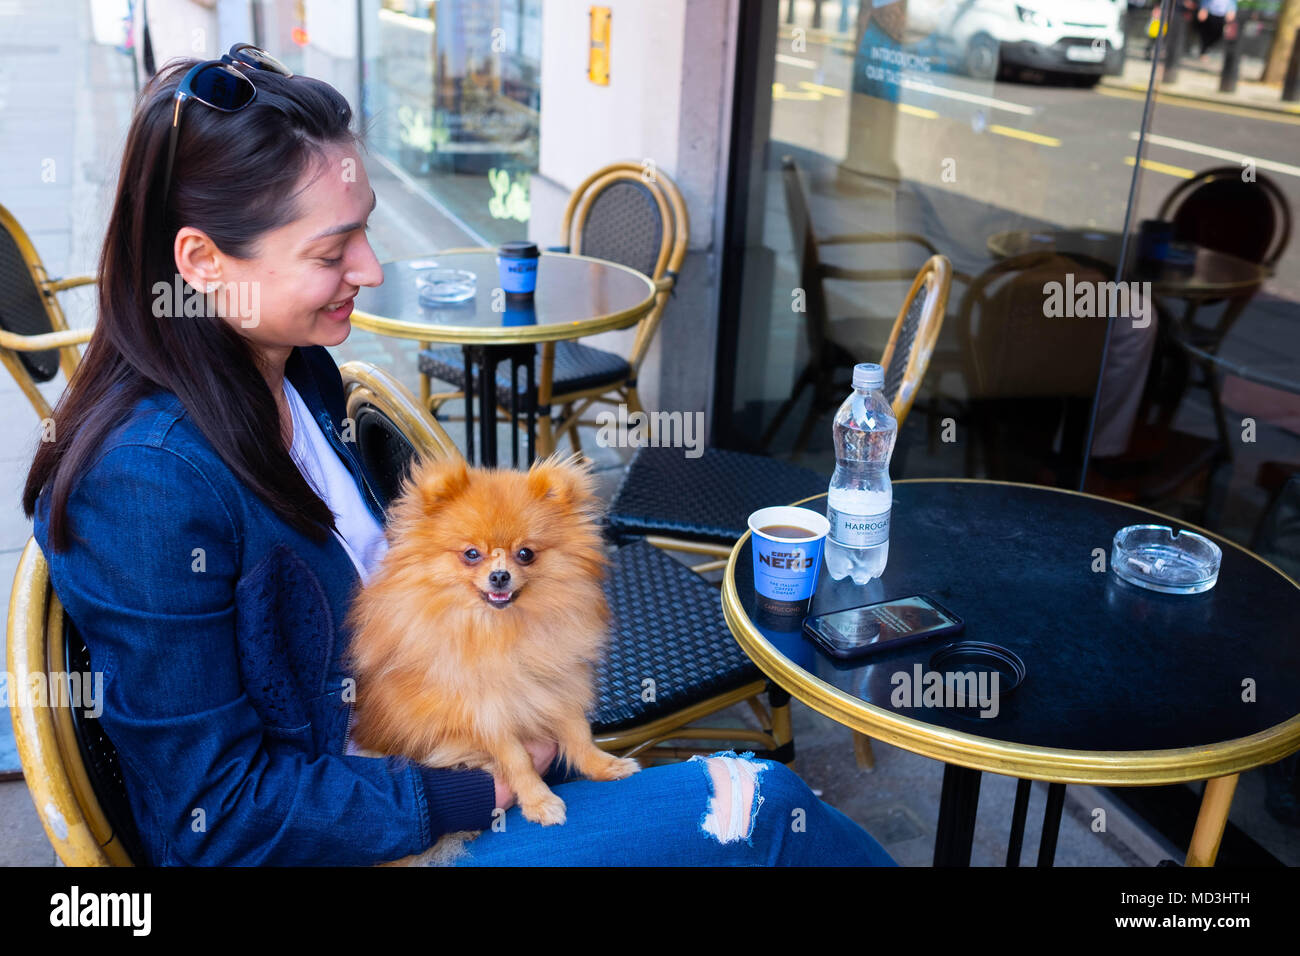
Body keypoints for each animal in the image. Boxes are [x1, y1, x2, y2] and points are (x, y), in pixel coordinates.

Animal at [340, 450, 634, 837]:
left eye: (525, 554)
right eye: (471, 554)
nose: (499, 576)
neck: (499, 629)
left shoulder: (559, 682)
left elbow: (578, 731)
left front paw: (603, 765)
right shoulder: (483, 711)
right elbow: (517, 758)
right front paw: (539, 801)